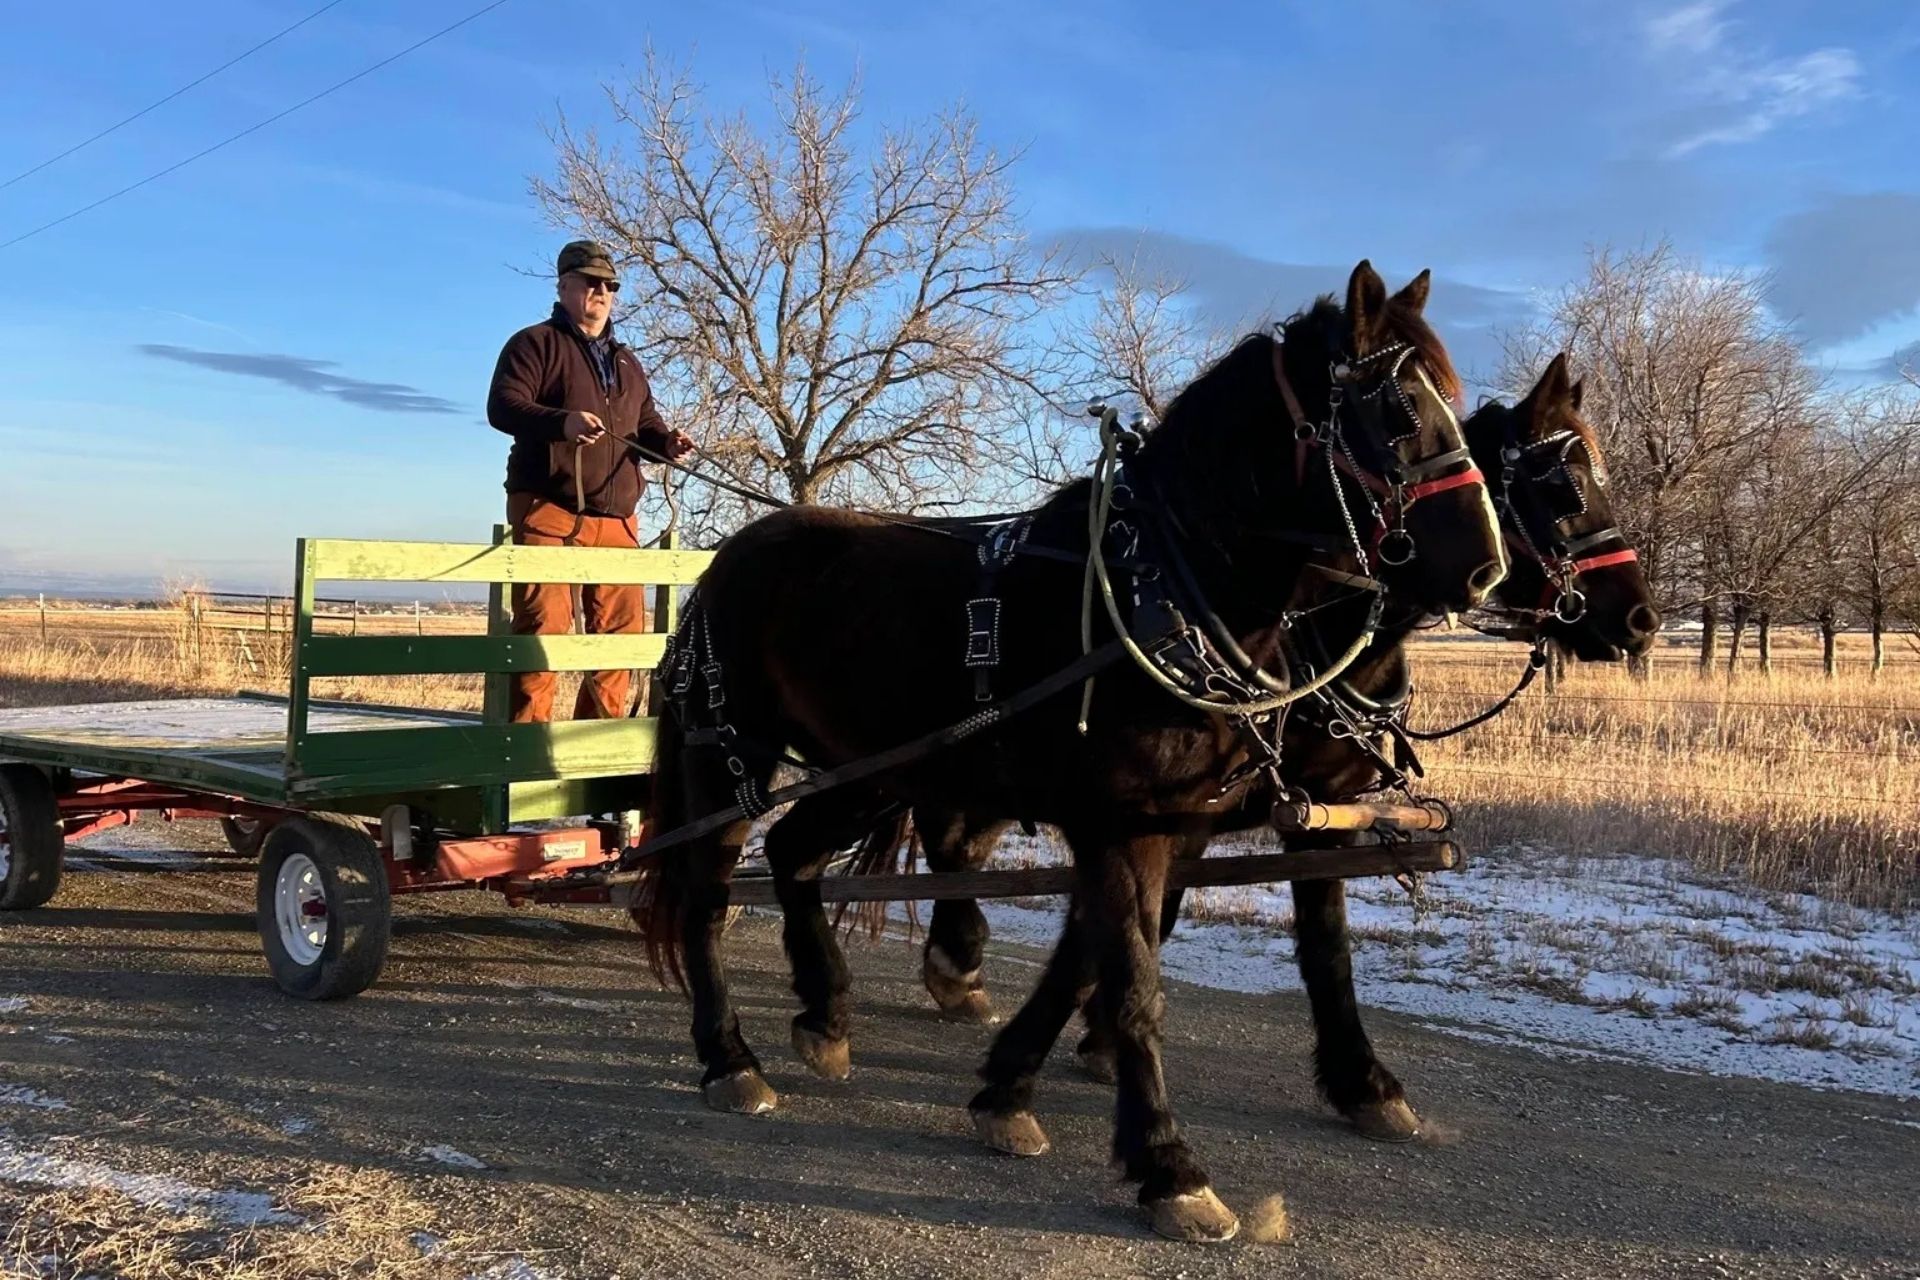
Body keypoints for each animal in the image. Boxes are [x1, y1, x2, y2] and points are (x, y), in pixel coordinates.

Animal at [639, 261, 1508, 1242]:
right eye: (1398, 406)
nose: (1486, 568)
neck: (1155, 589)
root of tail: (725, 558)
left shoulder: (1174, 823)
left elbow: (1129, 954)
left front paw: (1012, 1089)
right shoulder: (1117, 824)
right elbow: (1132, 981)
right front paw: (1168, 1164)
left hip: (875, 765)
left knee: (792, 852)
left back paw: (825, 1014)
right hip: (729, 752)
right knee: (708, 892)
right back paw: (729, 1058)